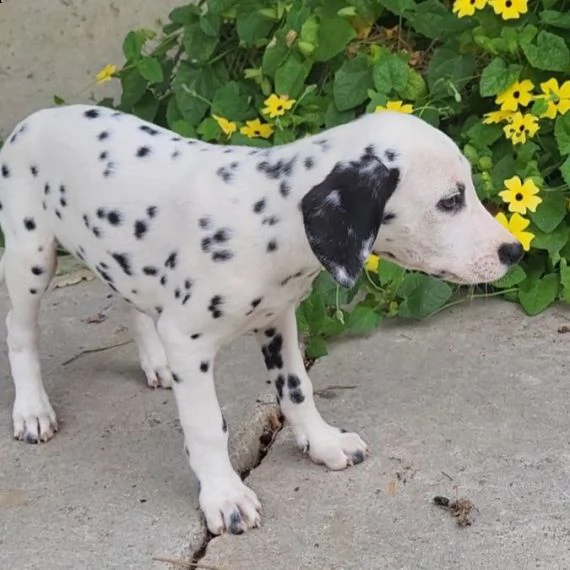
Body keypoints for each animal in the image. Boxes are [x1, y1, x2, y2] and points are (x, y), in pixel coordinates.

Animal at [0, 105, 520, 532]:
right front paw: (224, 496)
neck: (269, 219)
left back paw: (154, 363)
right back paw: (32, 410)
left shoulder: (278, 321)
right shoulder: (188, 341)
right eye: (449, 201)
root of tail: (36, 117)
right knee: (21, 331)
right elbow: (207, 426)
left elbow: (297, 389)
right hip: (30, 258)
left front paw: (322, 443)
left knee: (132, 303)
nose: (514, 251)